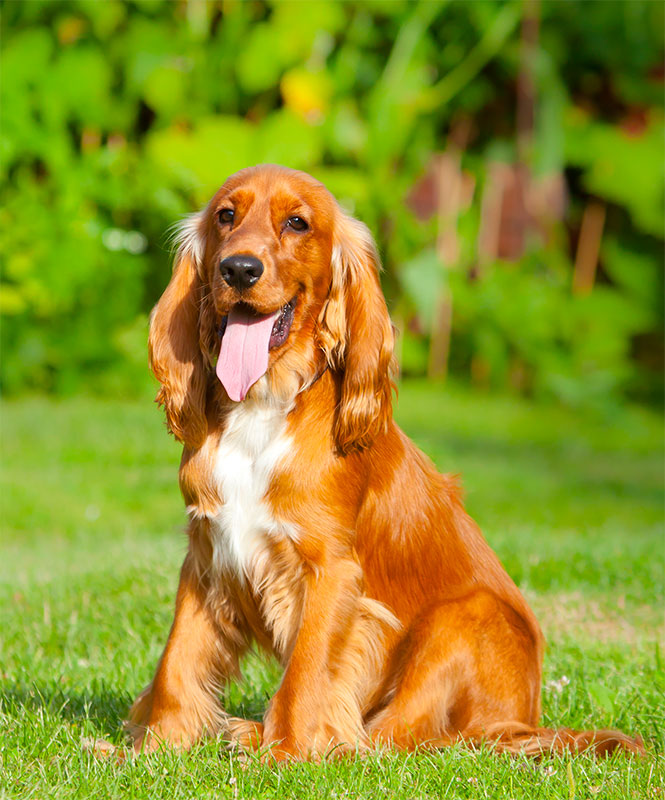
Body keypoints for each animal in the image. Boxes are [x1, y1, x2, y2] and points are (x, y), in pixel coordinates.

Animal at [126, 164, 644, 764]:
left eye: (298, 223)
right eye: (225, 216)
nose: (238, 268)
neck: (265, 403)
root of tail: (524, 719)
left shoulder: (330, 570)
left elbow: (305, 671)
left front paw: (287, 754)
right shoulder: (207, 554)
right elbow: (178, 659)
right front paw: (152, 746)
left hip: (458, 622)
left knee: (395, 740)